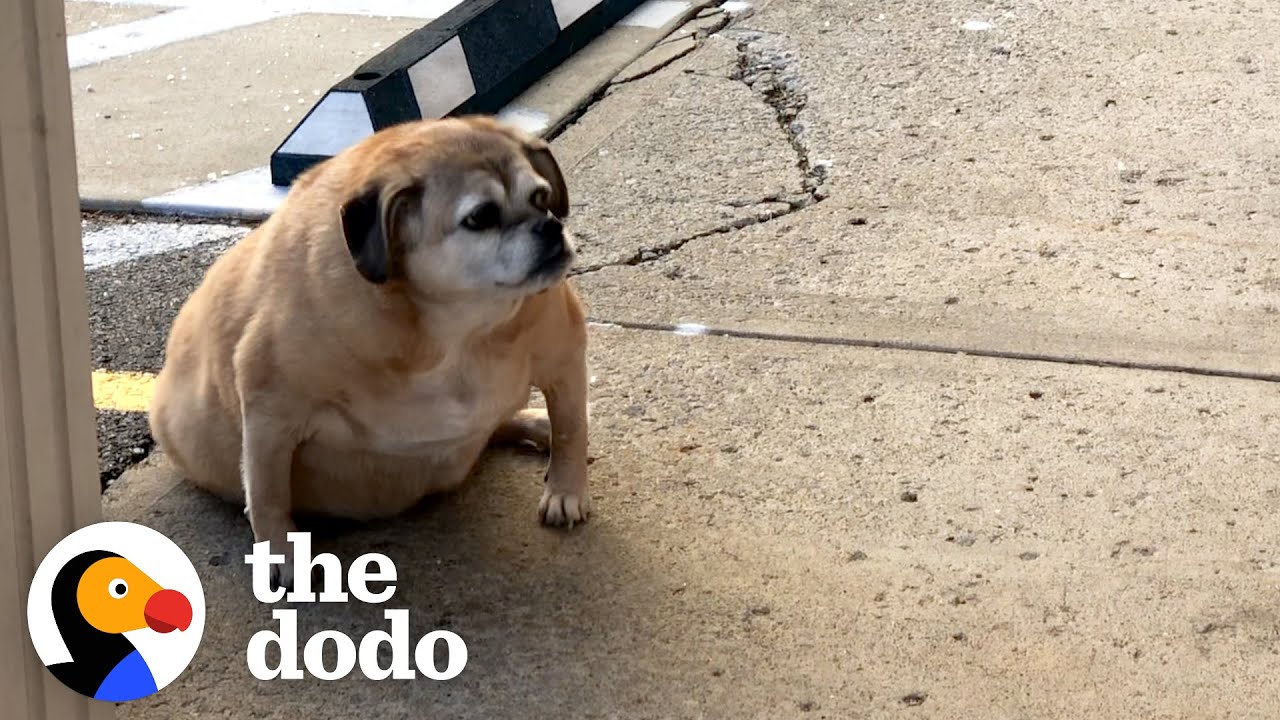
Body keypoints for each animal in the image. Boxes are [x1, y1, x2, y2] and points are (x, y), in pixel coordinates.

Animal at [148, 113, 588, 584]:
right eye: (480, 218)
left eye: (541, 198)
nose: (550, 226)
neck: (456, 328)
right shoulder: (270, 414)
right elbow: (268, 493)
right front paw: (281, 552)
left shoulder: (564, 358)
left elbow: (571, 429)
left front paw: (565, 488)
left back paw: (534, 425)